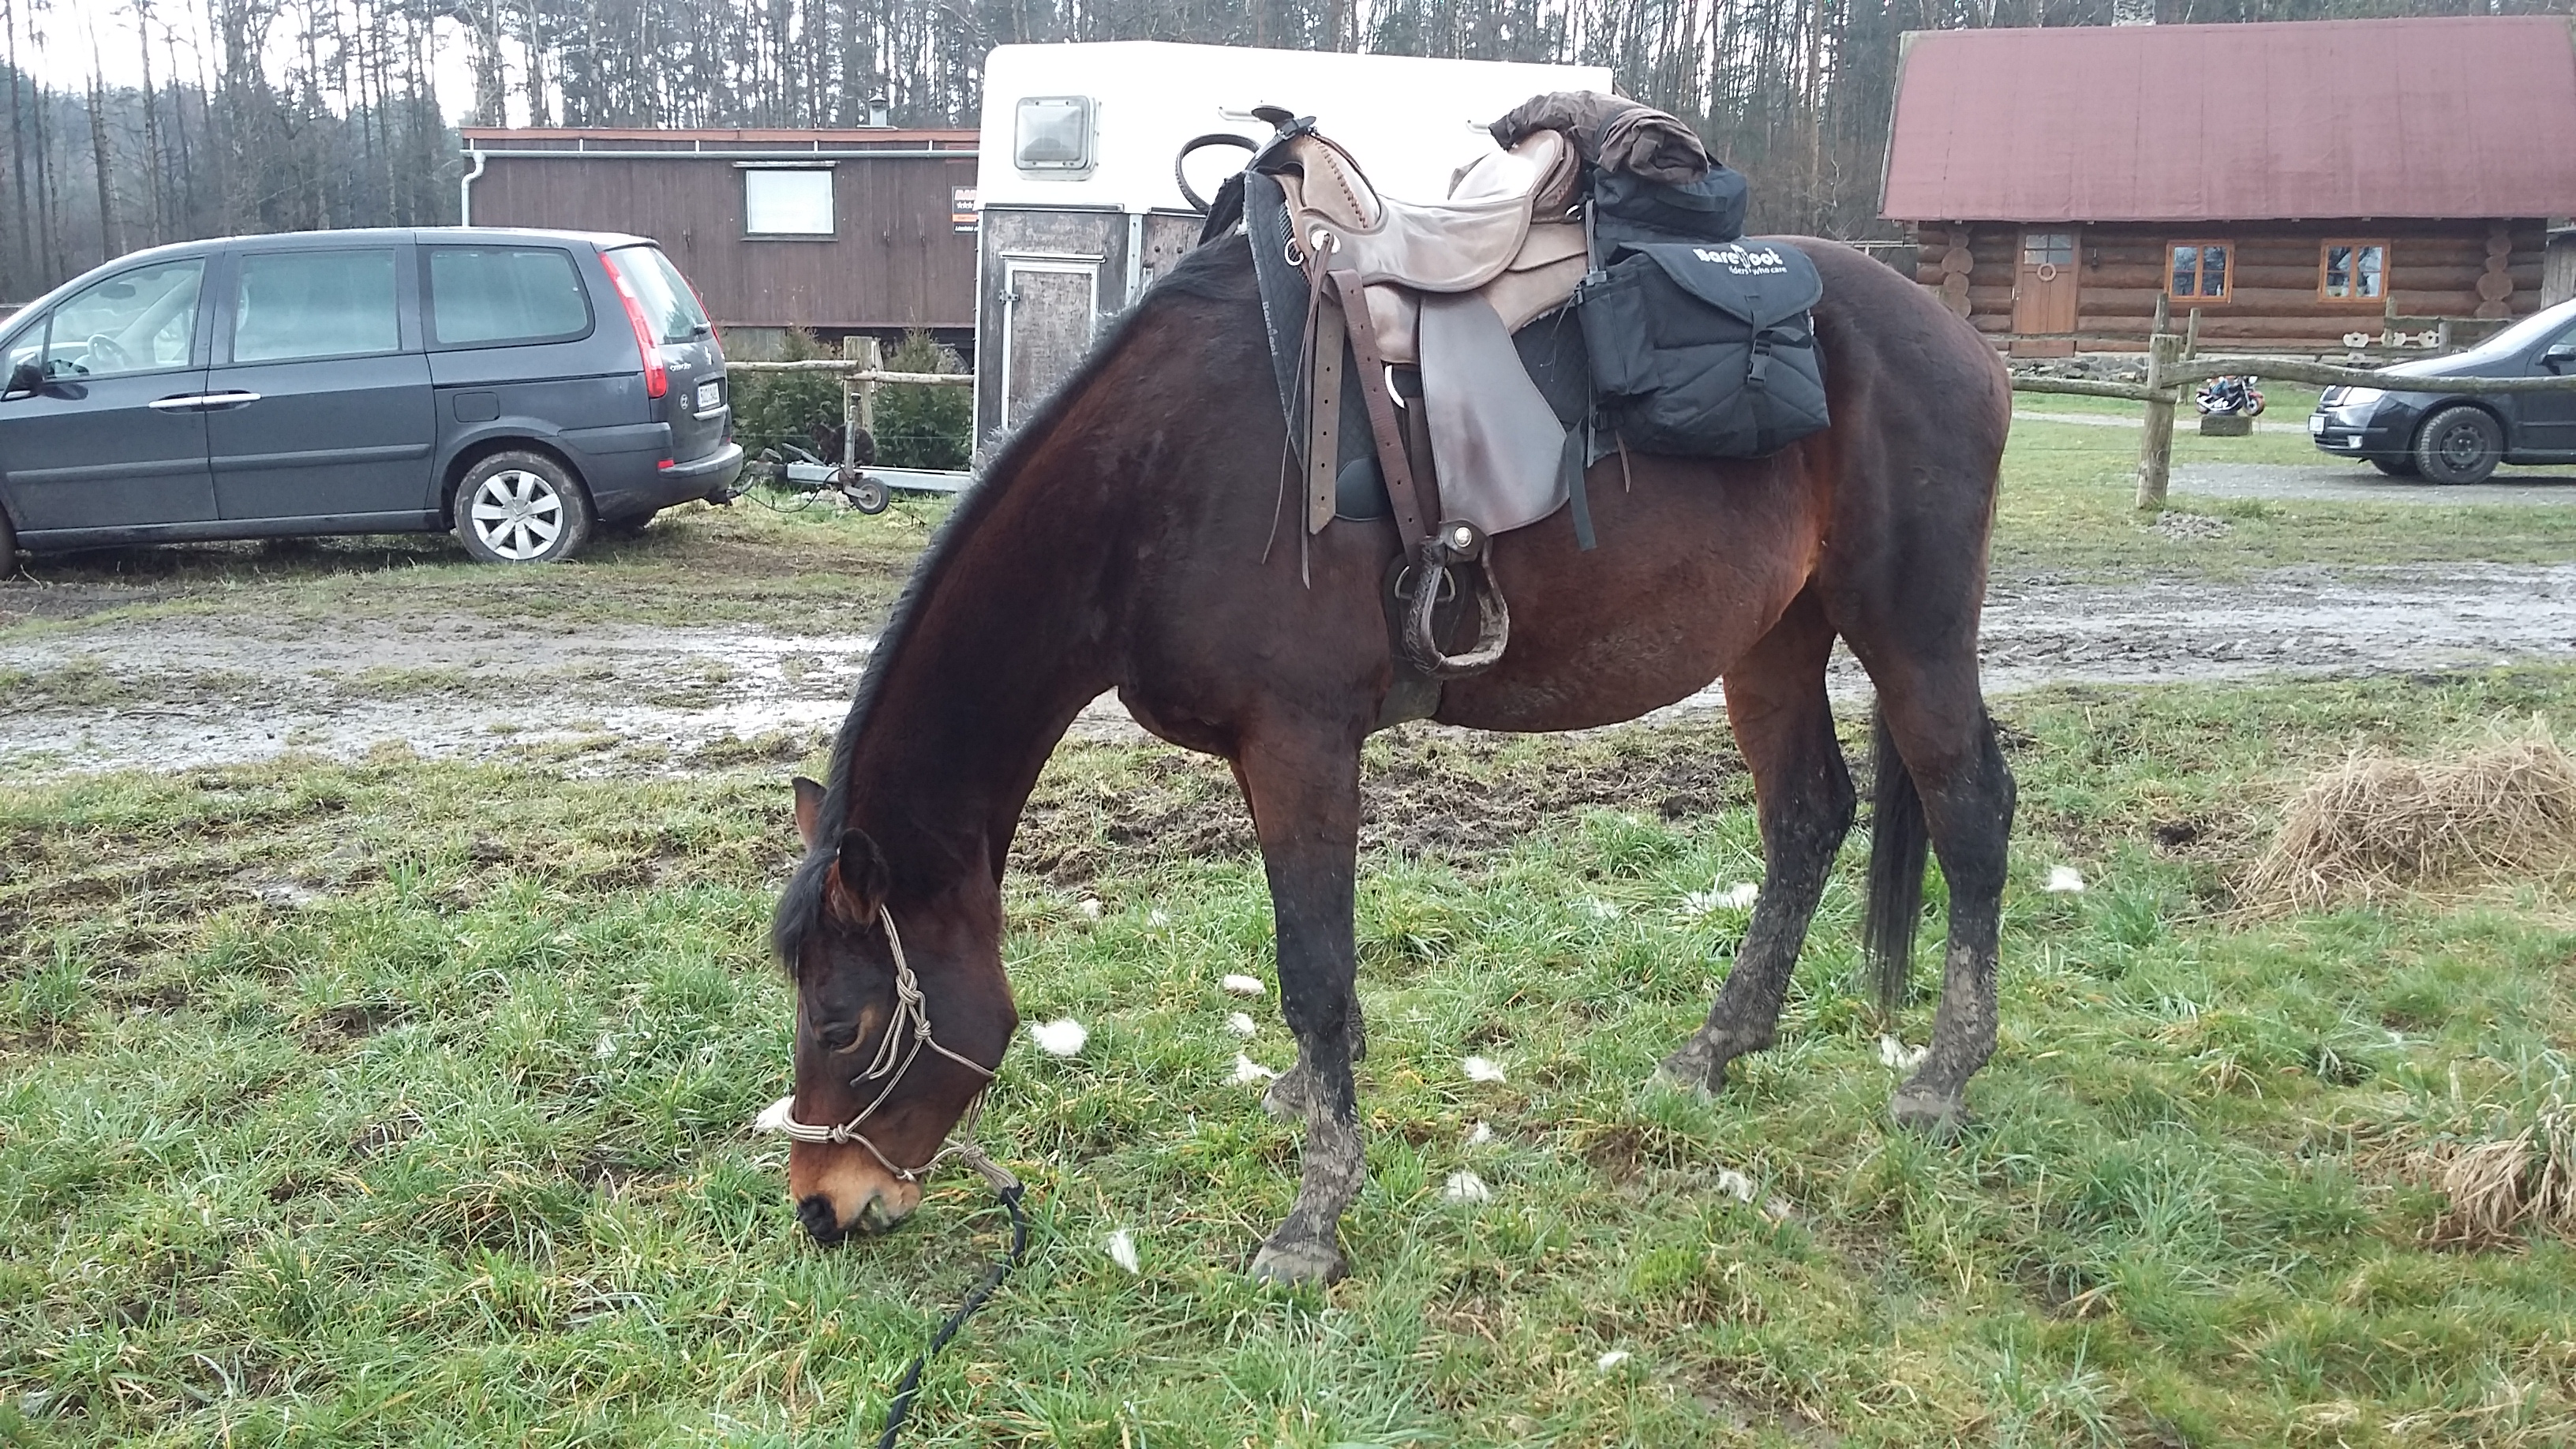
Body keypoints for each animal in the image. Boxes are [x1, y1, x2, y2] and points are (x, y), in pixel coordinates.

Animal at [762, 230, 2009, 1279]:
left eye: (840, 1022)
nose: (822, 1207)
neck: (1156, 479)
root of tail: (1962, 343)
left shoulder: (1302, 742)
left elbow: (1313, 968)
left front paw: (1315, 1216)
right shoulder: (1261, 754)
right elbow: (1316, 968)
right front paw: (1309, 1101)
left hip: (1911, 629)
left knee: (1970, 813)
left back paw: (1945, 1080)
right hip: (1774, 641)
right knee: (1807, 816)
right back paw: (1716, 1051)